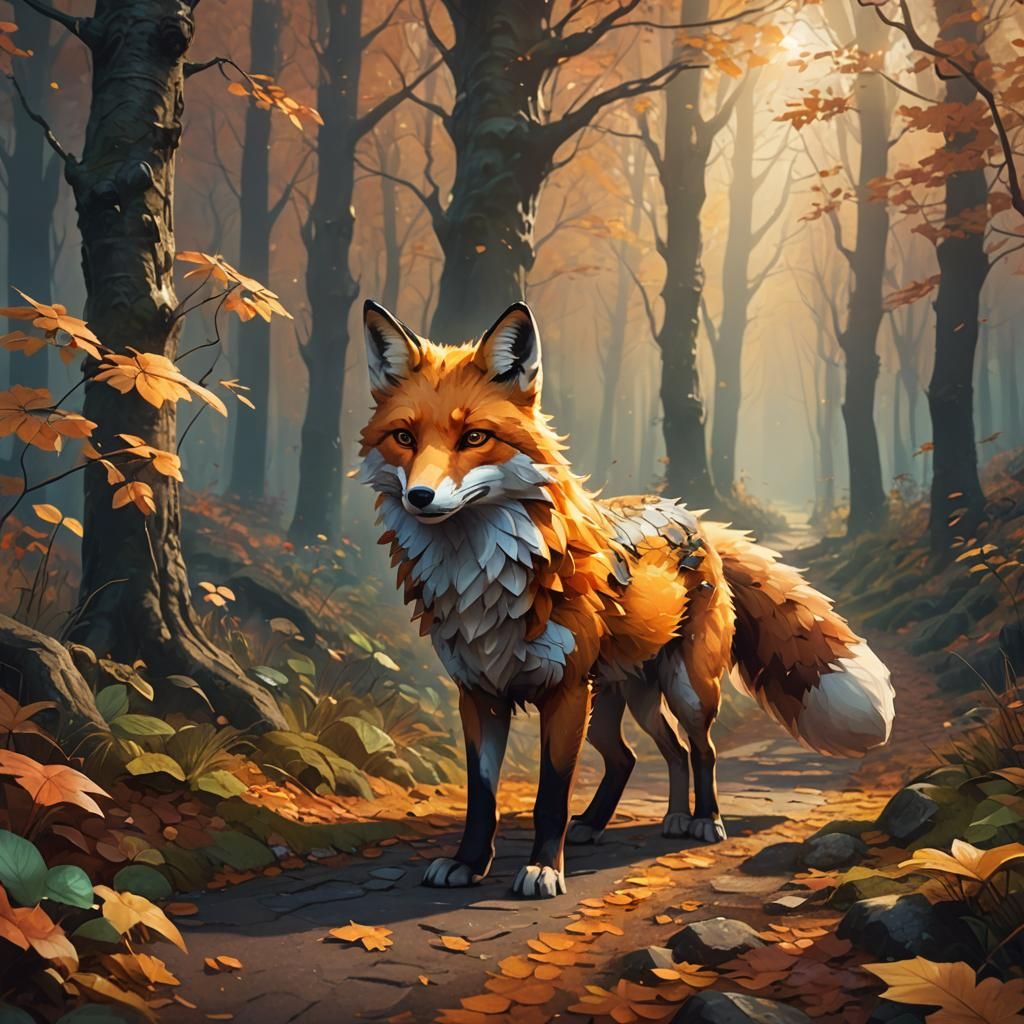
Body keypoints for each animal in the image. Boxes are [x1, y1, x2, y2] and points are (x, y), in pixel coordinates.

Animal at [358, 298, 895, 900]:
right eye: (404, 437)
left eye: (474, 437)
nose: (419, 496)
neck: (484, 583)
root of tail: (695, 515)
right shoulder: (478, 695)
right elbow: (482, 799)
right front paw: (469, 864)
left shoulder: (565, 693)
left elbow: (550, 797)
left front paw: (542, 869)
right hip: (619, 704)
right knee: (644, 755)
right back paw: (626, 821)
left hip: (683, 689)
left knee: (700, 749)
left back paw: (703, 820)